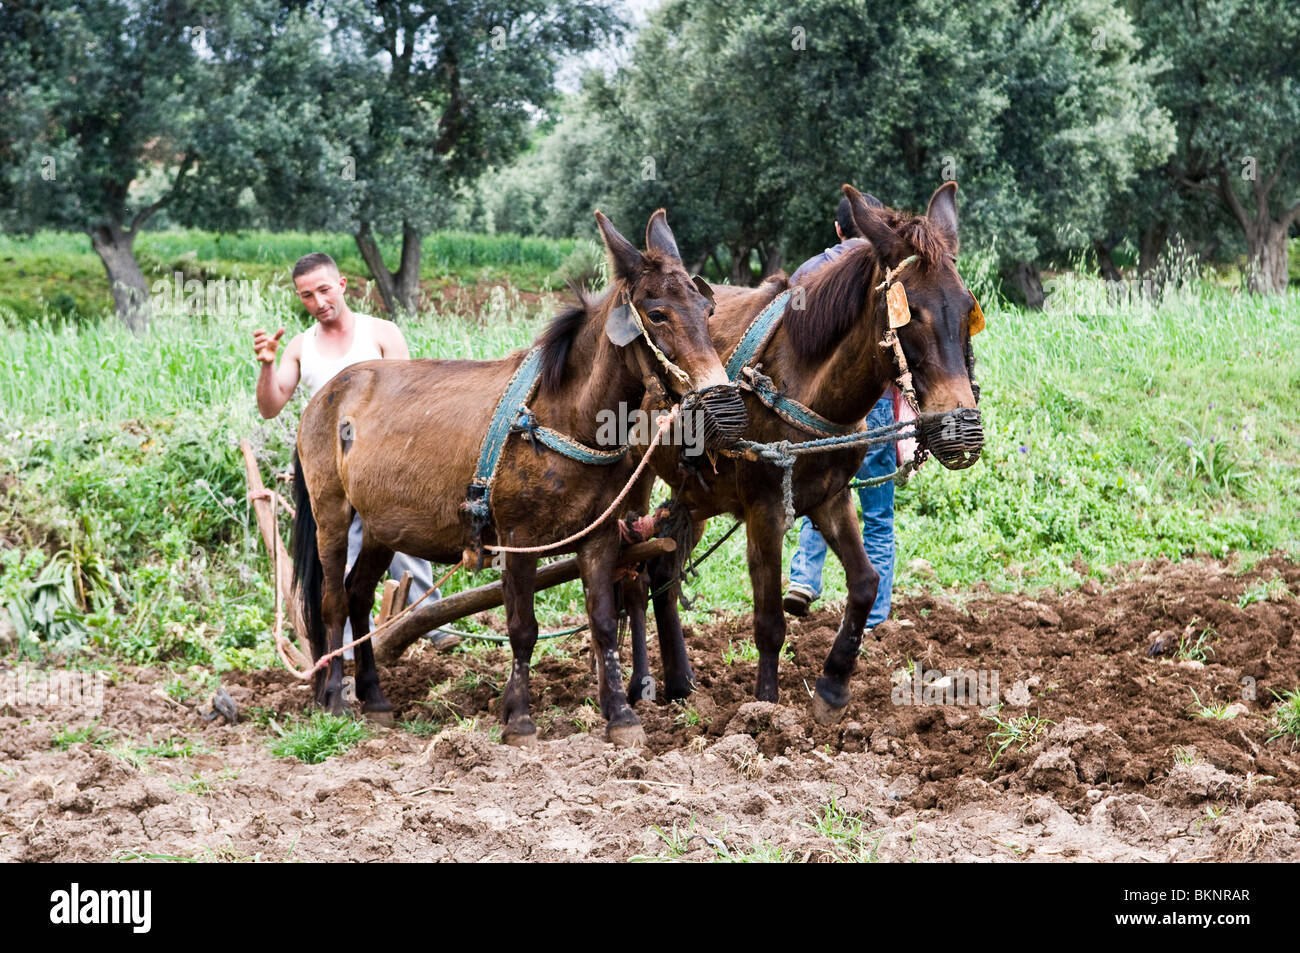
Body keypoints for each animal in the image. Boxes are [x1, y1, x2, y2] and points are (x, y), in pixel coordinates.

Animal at [291, 209, 747, 746]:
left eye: (707, 309)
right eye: (657, 315)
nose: (724, 401)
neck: (563, 415)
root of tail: (327, 394)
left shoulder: (599, 537)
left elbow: (603, 621)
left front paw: (621, 716)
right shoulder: (518, 538)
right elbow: (522, 626)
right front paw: (520, 720)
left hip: (384, 525)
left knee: (361, 595)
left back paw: (375, 697)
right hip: (333, 514)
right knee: (334, 601)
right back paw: (336, 698)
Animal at [624, 182, 985, 726]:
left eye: (967, 309)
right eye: (912, 313)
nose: (961, 429)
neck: (801, 381)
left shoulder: (830, 497)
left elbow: (865, 583)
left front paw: (833, 686)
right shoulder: (764, 511)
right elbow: (769, 620)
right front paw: (765, 711)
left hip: (695, 493)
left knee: (661, 569)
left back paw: (681, 685)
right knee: (629, 574)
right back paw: (640, 686)